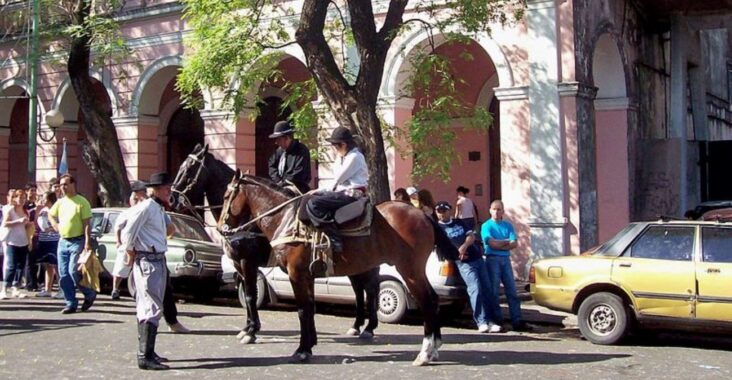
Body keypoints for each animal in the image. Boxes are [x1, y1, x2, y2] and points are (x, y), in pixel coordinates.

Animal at [170, 144, 378, 342]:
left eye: (189, 168)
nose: (172, 198)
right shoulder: (238, 264)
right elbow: (247, 295)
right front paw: (248, 328)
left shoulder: (248, 262)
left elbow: (251, 294)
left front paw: (251, 331)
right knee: (359, 289)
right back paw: (357, 326)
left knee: (368, 288)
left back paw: (368, 327)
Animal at [217, 170, 458, 366]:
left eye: (227, 196)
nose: (220, 228)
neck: (285, 219)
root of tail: (423, 215)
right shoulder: (306, 276)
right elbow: (310, 308)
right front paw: (309, 345)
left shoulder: (290, 273)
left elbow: (298, 309)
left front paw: (299, 349)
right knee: (421, 298)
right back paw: (432, 348)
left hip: (409, 270)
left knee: (424, 301)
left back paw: (424, 353)